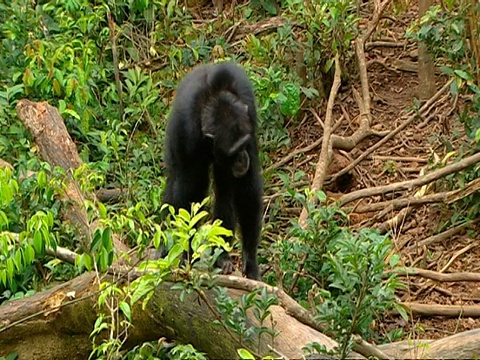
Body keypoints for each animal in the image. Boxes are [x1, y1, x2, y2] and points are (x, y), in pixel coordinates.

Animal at [163, 62, 264, 282]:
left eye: (243, 143)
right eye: (234, 151)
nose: (242, 158)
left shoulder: (249, 116)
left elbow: (246, 188)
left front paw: (250, 260)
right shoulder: (186, 133)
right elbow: (189, 191)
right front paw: (186, 255)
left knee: (225, 190)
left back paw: (222, 257)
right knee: (176, 183)